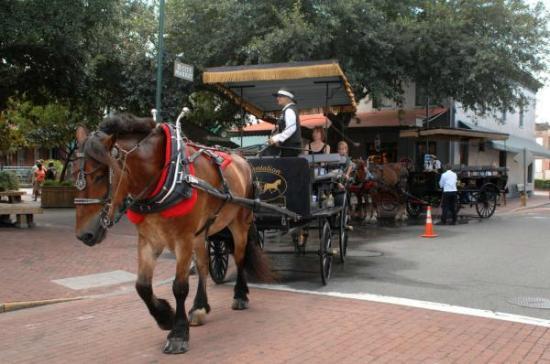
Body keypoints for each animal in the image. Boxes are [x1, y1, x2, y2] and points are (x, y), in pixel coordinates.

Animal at [74, 114, 272, 352]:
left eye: (100, 176)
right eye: (74, 174)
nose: (84, 235)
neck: (166, 175)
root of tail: (244, 160)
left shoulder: (183, 240)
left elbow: (179, 287)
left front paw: (178, 333)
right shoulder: (149, 239)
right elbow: (142, 286)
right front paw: (165, 317)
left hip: (239, 224)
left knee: (240, 257)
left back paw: (240, 296)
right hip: (202, 233)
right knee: (204, 265)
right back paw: (199, 307)